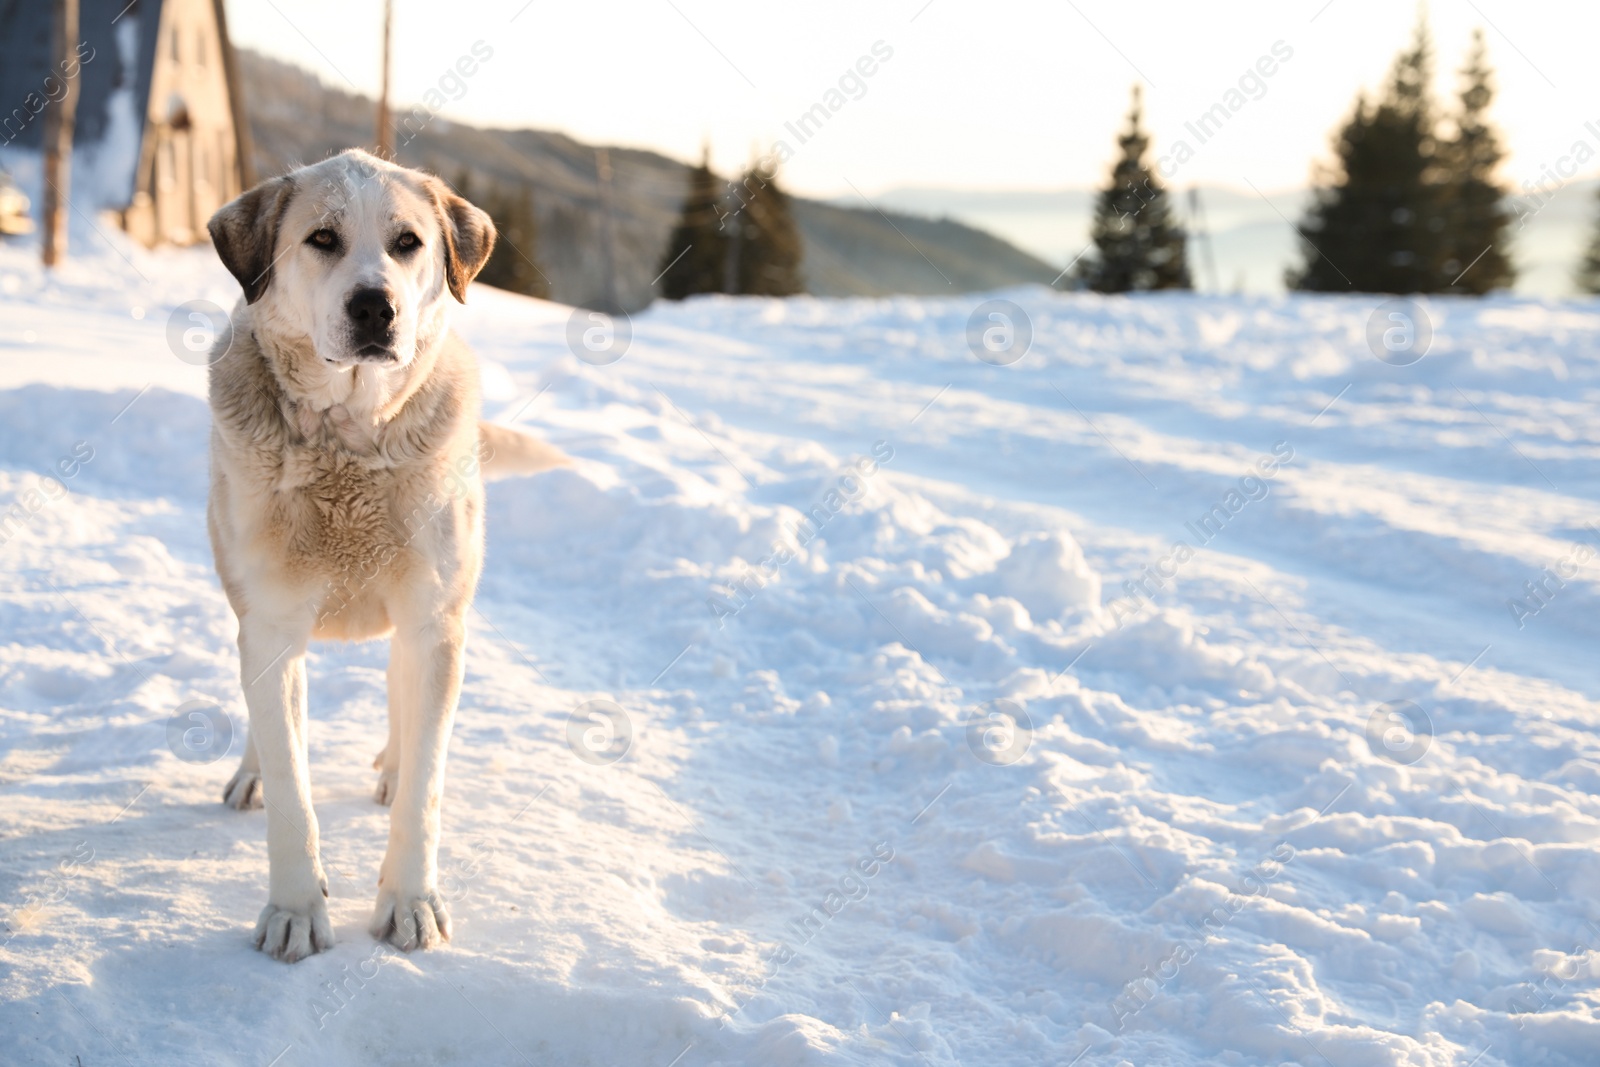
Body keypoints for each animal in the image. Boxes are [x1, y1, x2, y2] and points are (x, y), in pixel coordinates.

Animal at [206, 147, 566, 959]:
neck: (349, 444)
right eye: (322, 239)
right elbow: (291, 781)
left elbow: (426, 789)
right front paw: (295, 911)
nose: (376, 308)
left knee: (408, 703)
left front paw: (410, 902)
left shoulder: (435, 619)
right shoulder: (270, 625)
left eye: (409, 243)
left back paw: (394, 767)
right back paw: (253, 775)